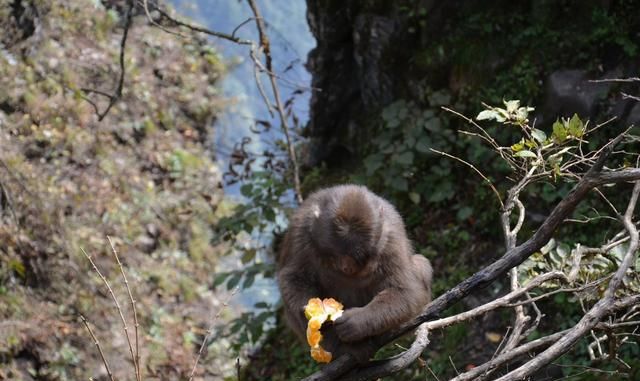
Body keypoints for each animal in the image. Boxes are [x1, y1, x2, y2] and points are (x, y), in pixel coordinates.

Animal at [278, 184, 432, 362]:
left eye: (359, 257)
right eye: (335, 255)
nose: (347, 268)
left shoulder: (391, 235)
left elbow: (405, 290)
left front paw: (356, 323)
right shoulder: (300, 231)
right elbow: (293, 278)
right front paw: (310, 311)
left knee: (421, 264)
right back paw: (343, 346)